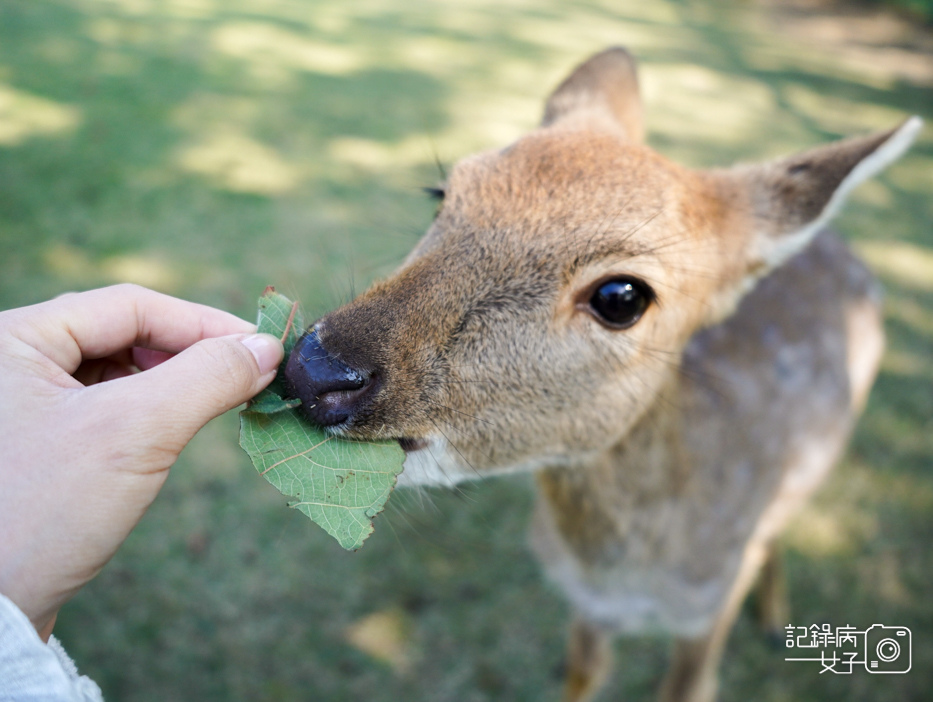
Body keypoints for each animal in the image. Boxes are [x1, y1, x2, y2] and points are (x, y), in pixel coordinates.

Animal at [280, 46, 920, 700]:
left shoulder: (707, 608)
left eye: (621, 297)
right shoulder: (585, 607)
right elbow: (583, 673)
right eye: (442, 193)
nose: (315, 369)